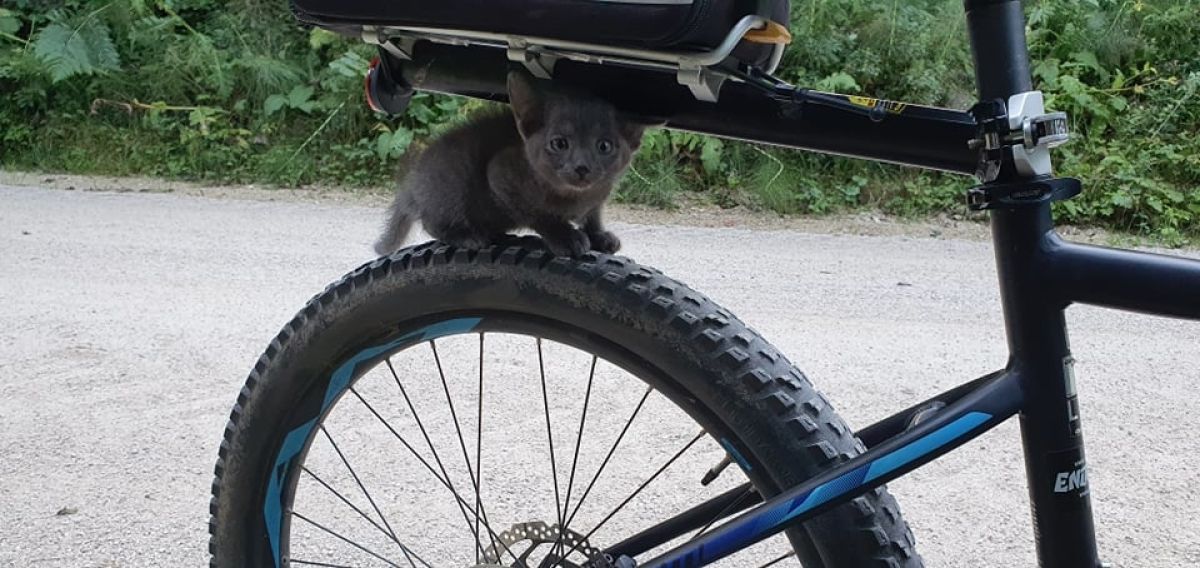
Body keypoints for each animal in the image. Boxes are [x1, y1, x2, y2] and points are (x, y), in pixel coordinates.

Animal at [373, 70, 646, 258]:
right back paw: (467, 235)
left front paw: (598, 235)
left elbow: (593, 214)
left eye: (604, 146)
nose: (582, 167)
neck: (575, 196)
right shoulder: (501, 175)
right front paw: (565, 236)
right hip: (453, 177)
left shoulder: (600, 194)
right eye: (559, 144)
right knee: (432, 221)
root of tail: (413, 185)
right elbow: (537, 213)